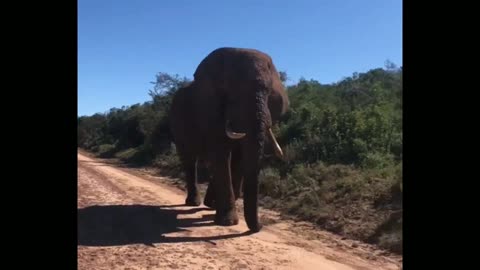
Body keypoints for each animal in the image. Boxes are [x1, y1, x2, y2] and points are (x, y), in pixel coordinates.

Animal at [169, 47, 288, 232]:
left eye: (268, 93)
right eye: (233, 94)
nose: (260, 227)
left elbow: (237, 158)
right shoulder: (210, 109)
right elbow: (221, 154)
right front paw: (228, 222)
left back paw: (209, 204)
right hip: (178, 124)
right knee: (190, 160)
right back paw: (194, 203)